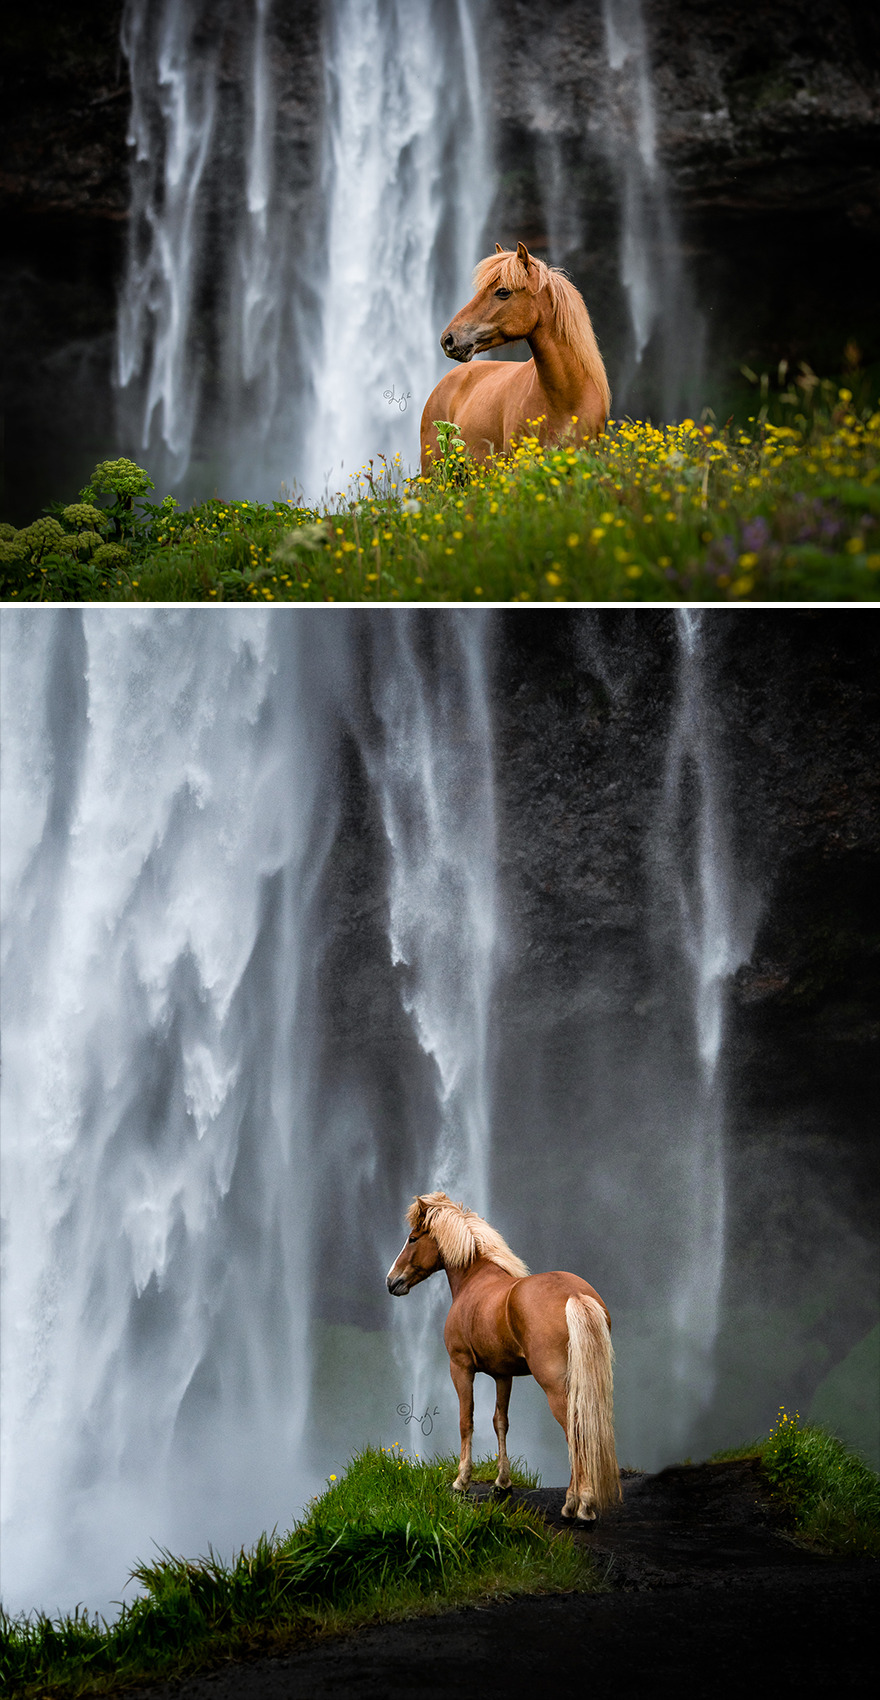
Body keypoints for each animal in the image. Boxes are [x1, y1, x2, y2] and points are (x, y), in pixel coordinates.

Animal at [387, 1190, 621, 1523]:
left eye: (412, 1238)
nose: (391, 1281)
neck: (474, 1280)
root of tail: (574, 1295)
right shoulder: (503, 1374)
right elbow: (500, 1421)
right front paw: (502, 1483)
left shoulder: (460, 1367)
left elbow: (466, 1420)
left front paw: (461, 1482)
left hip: (555, 1388)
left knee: (575, 1433)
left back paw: (578, 1504)